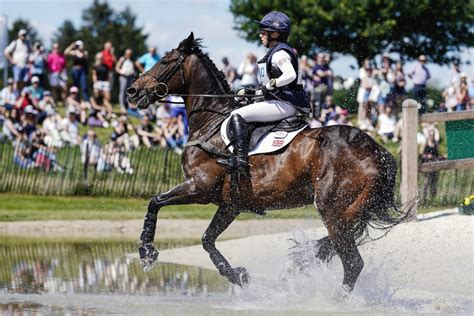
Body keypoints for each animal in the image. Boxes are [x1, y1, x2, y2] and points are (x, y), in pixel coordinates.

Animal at [128, 33, 410, 292]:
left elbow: (155, 202)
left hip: (333, 210)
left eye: (164, 61)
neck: (210, 124)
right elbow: (207, 239)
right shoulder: (231, 204)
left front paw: (147, 252)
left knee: (352, 262)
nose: (132, 91)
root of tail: (378, 152)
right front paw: (238, 276)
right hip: (350, 212)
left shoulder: (199, 187)